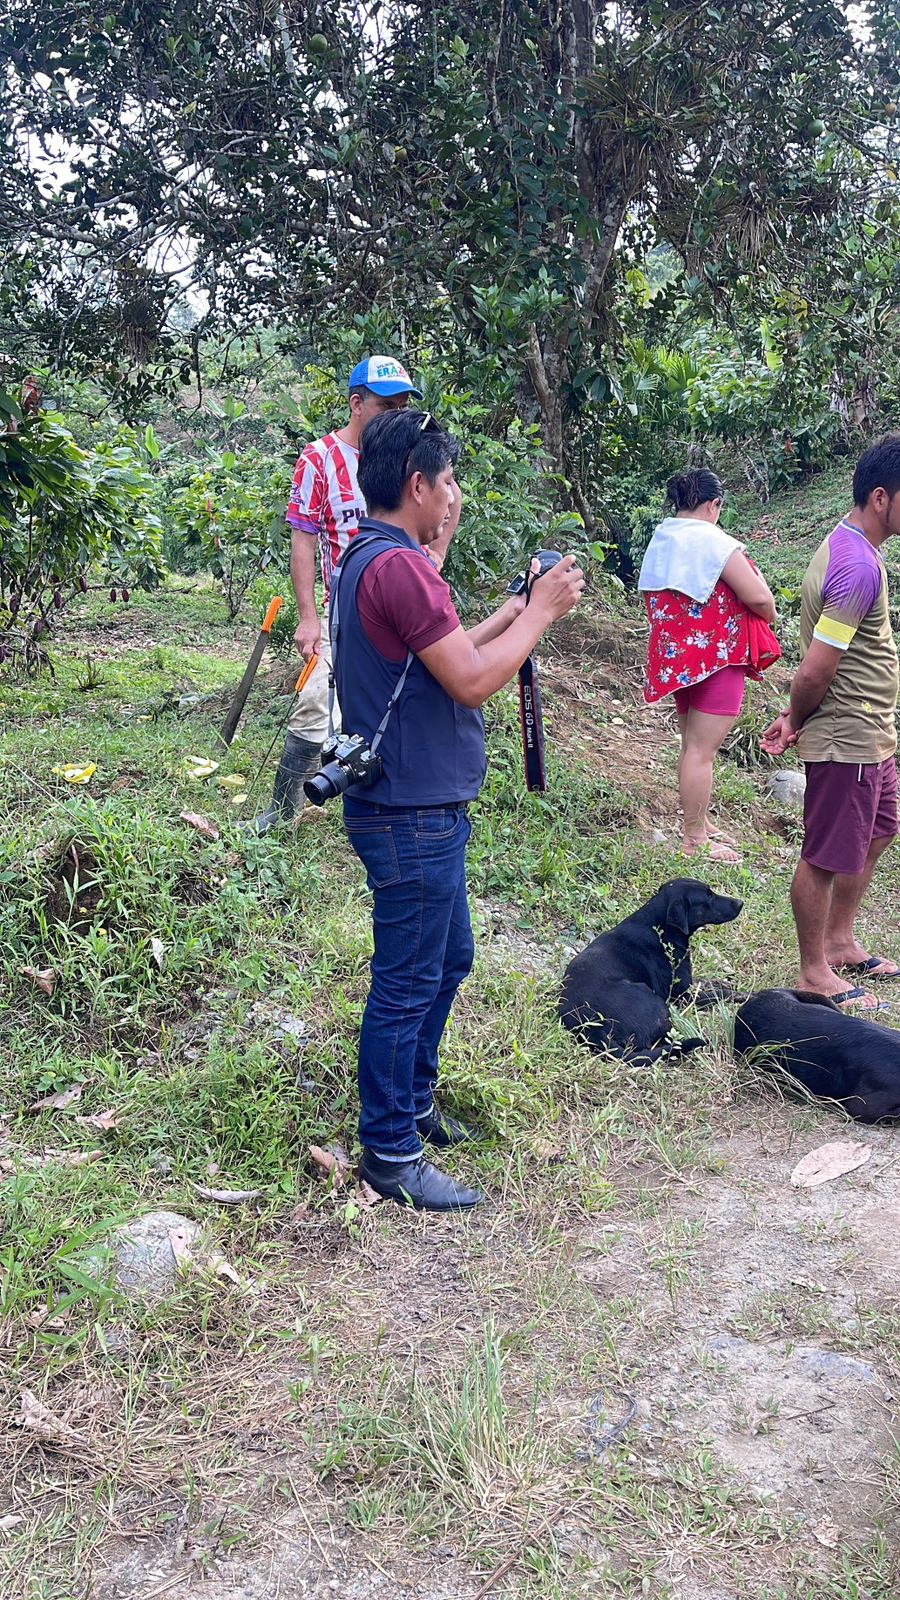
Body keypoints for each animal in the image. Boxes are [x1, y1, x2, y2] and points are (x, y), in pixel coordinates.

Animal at [559, 879, 743, 1062]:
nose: (740, 903)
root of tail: (591, 1027)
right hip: (655, 1001)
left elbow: (707, 983)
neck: (660, 928)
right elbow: (720, 994)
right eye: (709, 896)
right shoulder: (683, 995)